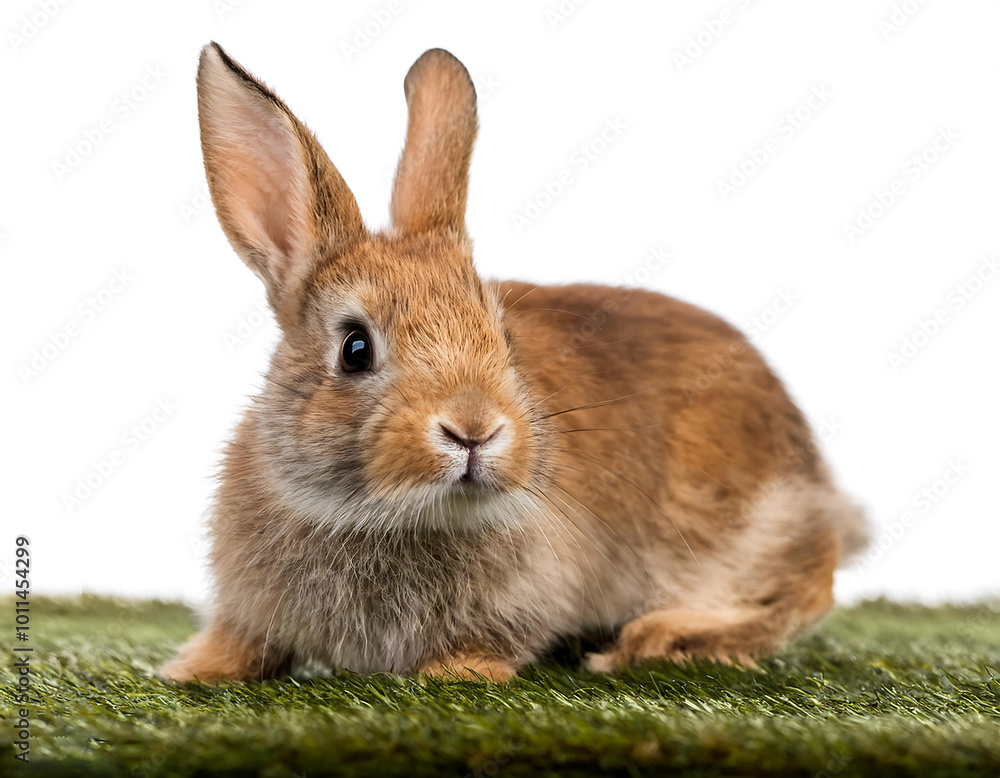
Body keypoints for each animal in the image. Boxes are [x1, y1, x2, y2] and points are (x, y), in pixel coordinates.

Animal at [160, 42, 867, 684]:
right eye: (355, 348)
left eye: (503, 338)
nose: (474, 430)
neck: (387, 516)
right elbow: (243, 640)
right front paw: (196, 671)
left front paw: (459, 673)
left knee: (807, 589)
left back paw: (660, 637)